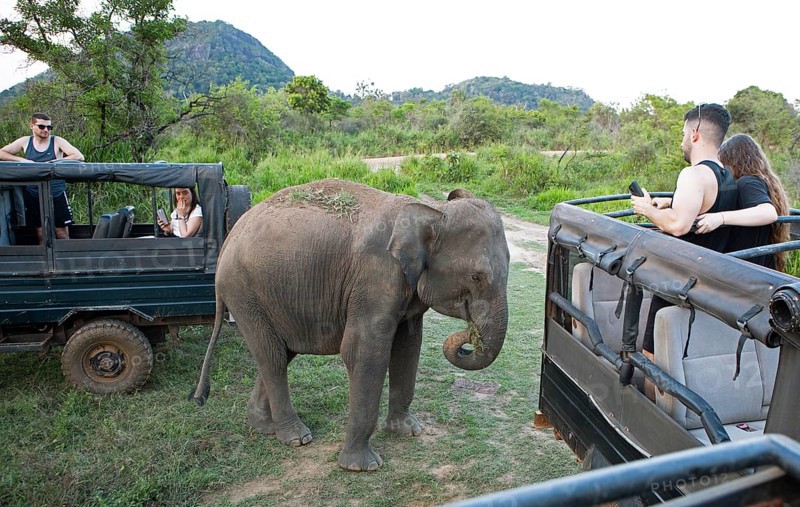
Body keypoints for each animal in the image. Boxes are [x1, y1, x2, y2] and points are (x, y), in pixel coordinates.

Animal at [191, 178, 509, 471]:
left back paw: (264, 427)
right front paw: (361, 467)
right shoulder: (374, 278)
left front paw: (408, 431)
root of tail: (227, 241)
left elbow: (408, 347)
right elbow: (362, 353)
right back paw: (296, 438)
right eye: (476, 277)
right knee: (273, 358)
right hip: (243, 292)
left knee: (281, 352)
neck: (431, 211)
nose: (469, 341)